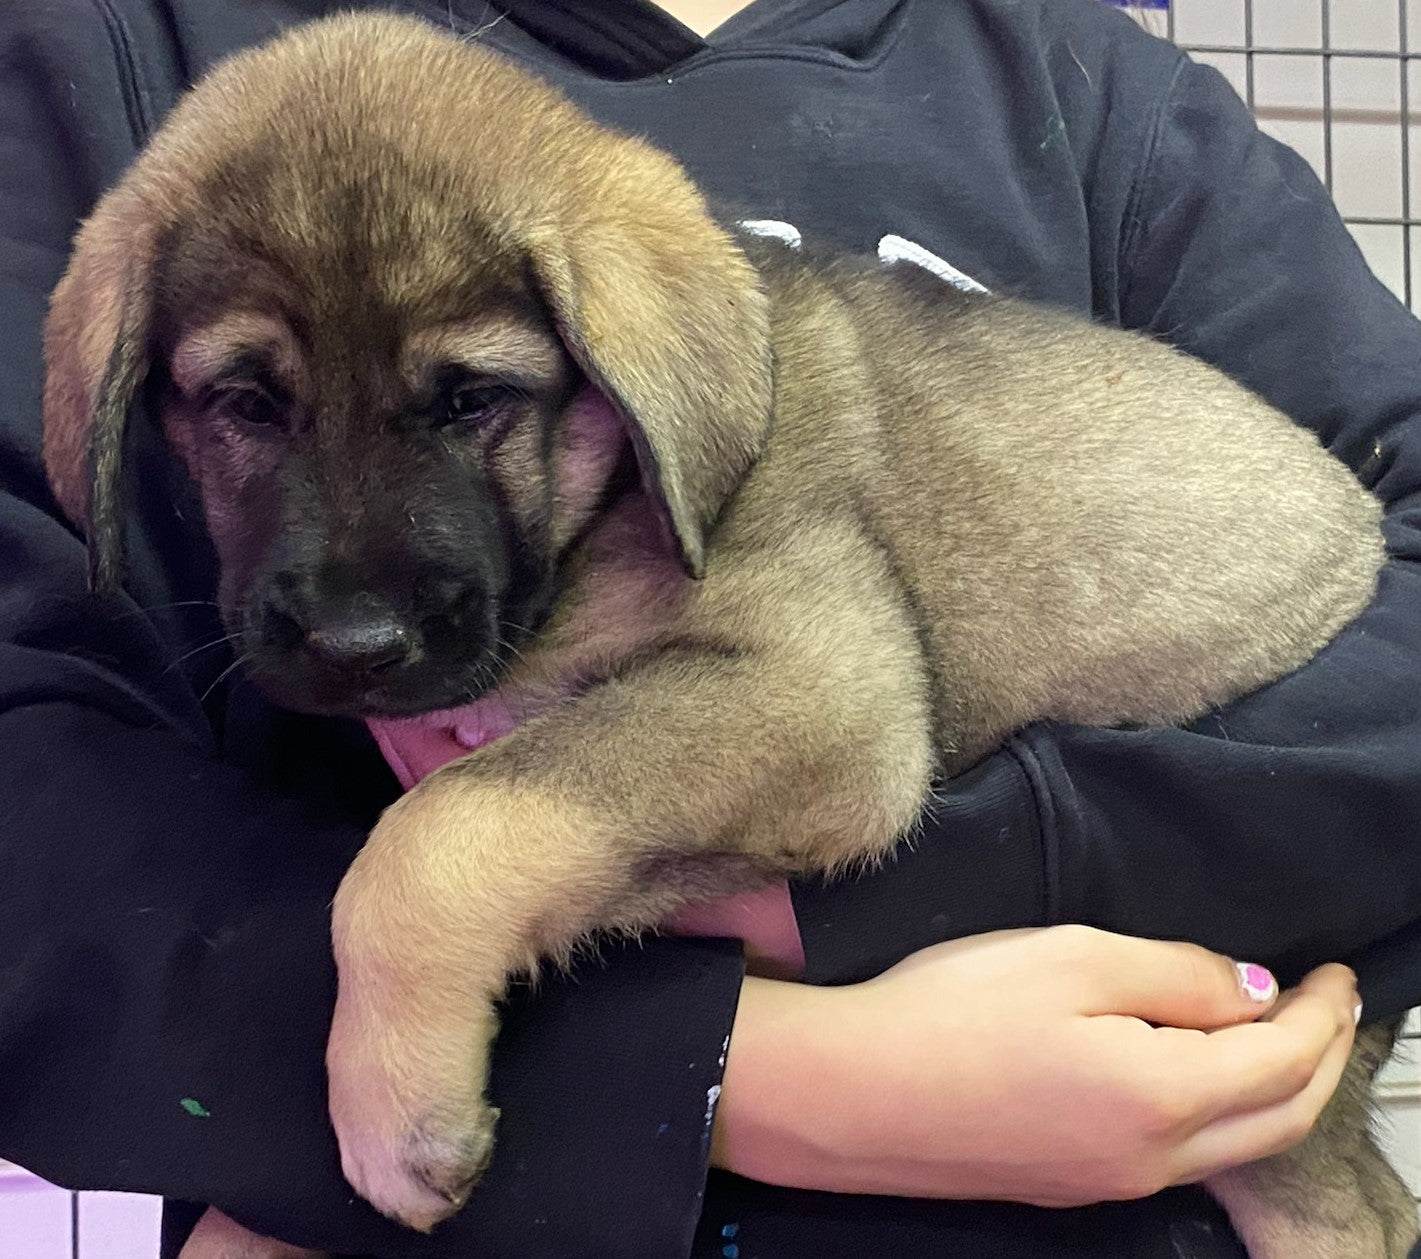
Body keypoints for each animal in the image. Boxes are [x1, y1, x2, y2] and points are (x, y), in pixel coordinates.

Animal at [41, 12, 1421, 1259]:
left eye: (474, 400)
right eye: (242, 403)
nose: (353, 643)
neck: (601, 501)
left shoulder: (813, 688)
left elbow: (439, 832)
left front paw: (392, 1106)